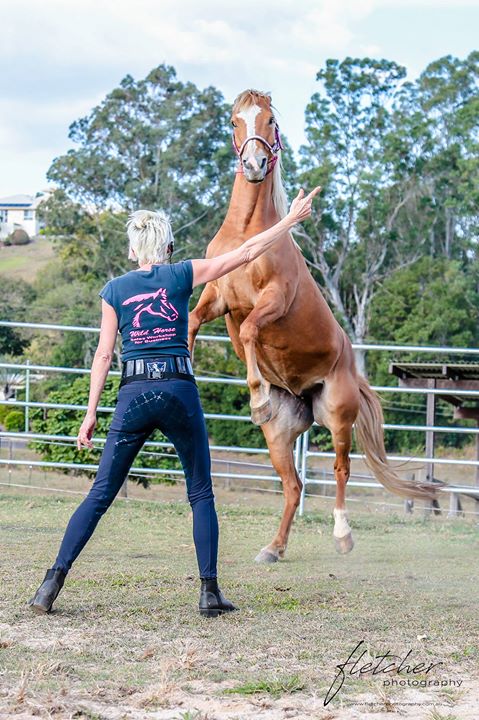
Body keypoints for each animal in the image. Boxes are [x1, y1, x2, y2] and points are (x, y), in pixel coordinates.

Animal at [188, 89, 440, 563]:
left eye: (270, 121)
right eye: (234, 121)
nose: (254, 165)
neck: (247, 233)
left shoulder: (273, 300)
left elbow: (249, 331)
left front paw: (256, 396)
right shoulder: (217, 297)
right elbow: (193, 321)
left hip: (339, 416)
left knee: (341, 470)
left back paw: (342, 535)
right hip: (279, 436)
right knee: (294, 485)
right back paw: (273, 548)